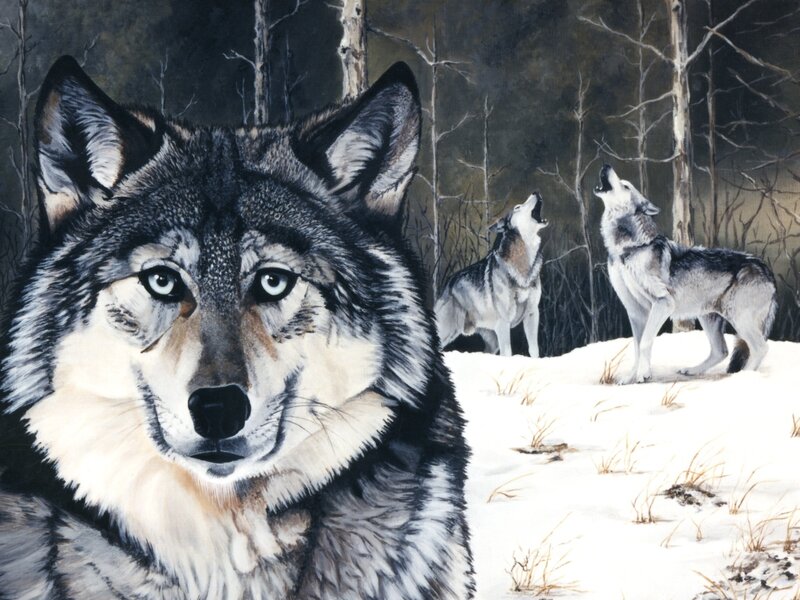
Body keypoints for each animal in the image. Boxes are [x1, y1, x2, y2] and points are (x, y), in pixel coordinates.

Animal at [434, 193, 548, 357]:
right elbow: (508, 353)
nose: (536, 192)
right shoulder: (504, 323)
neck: (524, 261)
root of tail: (448, 284)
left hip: (492, 342)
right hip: (448, 332)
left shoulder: (532, 315)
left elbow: (534, 350)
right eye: (517, 207)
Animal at [594, 164, 777, 384]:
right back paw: (692, 370)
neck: (628, 249)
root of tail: (766, 269)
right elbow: (637, 347)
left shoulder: (663, 303)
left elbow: (645, 342)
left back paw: (744, 376)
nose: (605, 166)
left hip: (738, 317)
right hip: (709, 318)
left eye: (626, 186)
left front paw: (643, 375)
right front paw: (630, 377)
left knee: (760, 347)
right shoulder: (635, 311)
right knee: (721, 351)